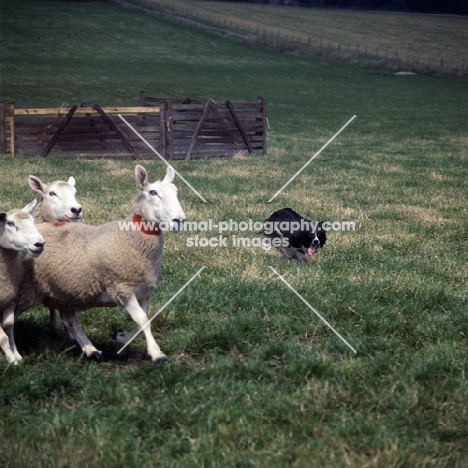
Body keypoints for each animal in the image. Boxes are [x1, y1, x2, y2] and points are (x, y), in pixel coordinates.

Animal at [0, 199, 44, 364]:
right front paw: (12, 361)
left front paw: (16, 354)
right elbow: (3, 337)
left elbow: (9, 325)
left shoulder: (10, 298)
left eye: (32, 221)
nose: (40, 244)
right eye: (10, 223)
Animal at [18, 165, 186, 362]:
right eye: (153, 192)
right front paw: (156, 352)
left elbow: (143, 320)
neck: (133, 238)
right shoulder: (121, 288)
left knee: (69, 317)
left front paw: (122, 337)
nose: (179, 221)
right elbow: (143, 320)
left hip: (62, 289)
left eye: (176, 191)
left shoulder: (144, 291)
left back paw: (90, 349)